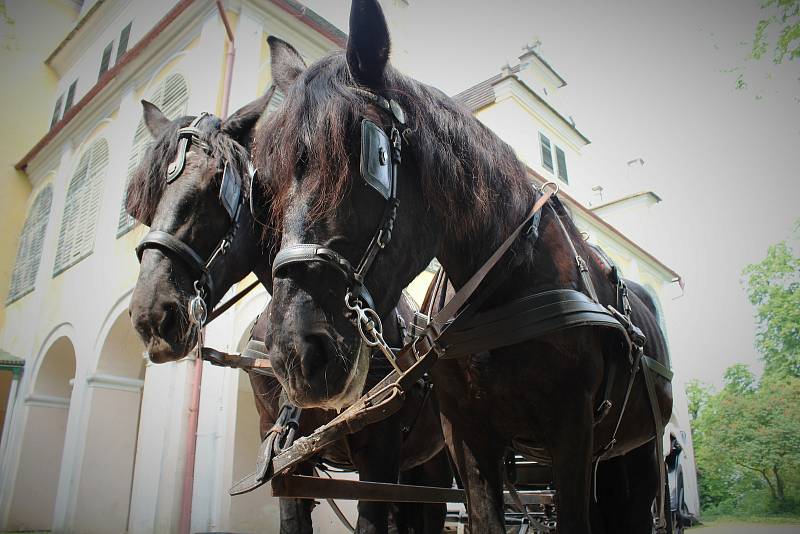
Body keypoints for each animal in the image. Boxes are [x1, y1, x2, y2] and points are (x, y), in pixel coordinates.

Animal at [253, 2, 672, 532]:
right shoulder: (468, 439)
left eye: (375, 158)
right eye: (266, 182)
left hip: (639, 450)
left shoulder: (572, 431)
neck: (503, 286)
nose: (295, 352)